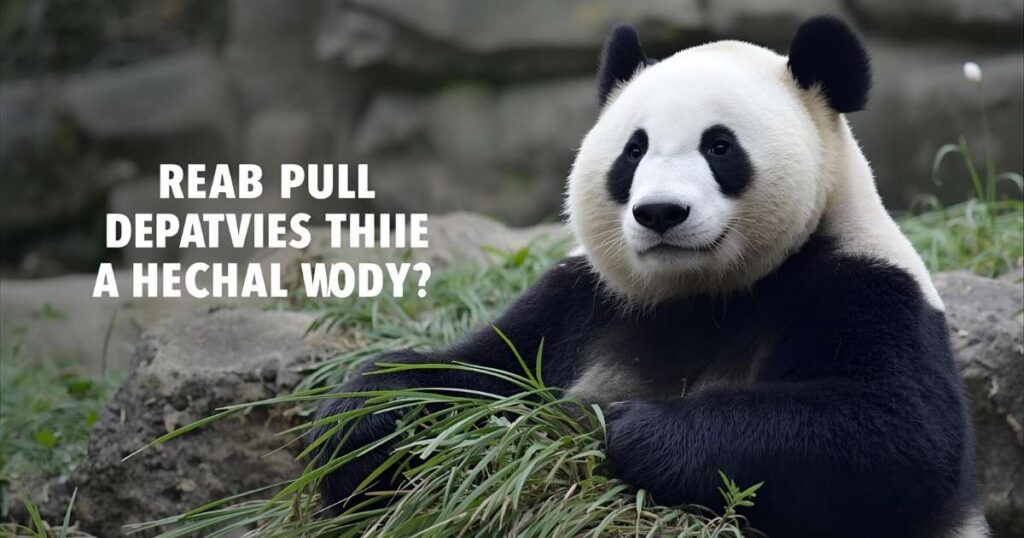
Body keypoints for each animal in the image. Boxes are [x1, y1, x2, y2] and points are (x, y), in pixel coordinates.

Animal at [312, 16, 985, 538]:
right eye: (633, 151)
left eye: (719, 147)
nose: (661, 212)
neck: (701, 294)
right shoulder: (582, 299)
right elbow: (480, 371)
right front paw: (363, 422)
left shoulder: (865, 287)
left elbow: (894, 435)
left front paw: (619, 428)